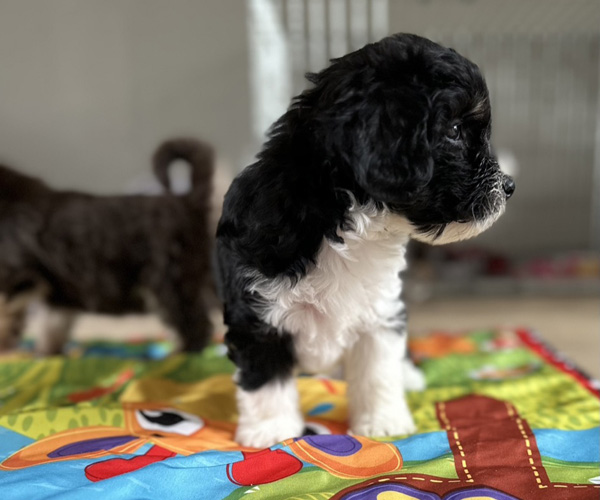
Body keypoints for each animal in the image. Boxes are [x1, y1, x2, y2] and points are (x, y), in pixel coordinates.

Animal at [0, 138, 214, 354]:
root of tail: (189, 201)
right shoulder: (57, 290)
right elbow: (53, 322)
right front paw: (46, 352)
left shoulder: (16, 275)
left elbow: (7, 313)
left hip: (169, 279)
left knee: (194, 324)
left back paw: (181, 354)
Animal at [216, 33, 515, 448]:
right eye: (454, 131)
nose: (509, 186)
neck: (350, 223)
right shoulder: (256, 310)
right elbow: (266, 375)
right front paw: (271, 429)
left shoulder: (380, 312)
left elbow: (377, 370)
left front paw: (383, 422)